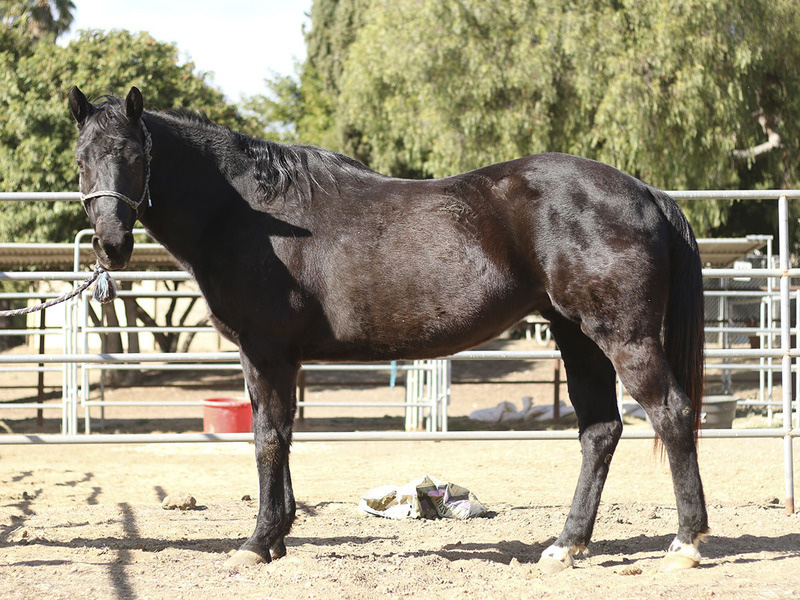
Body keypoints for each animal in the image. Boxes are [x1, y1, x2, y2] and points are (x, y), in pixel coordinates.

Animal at [69, 85, 708, 572]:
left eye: (134, 156)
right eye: (82, 159)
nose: (111, 244)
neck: (250, 214)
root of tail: (646, 191)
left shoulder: (266, 351)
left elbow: (268, 438)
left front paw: (256, 543)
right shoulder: (277, 358)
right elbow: (282, 436)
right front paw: (277, 537)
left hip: (622, 336)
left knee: (671, 413)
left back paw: (684, 543)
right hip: (577, 336)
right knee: (599, 430)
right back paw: (565, 545)